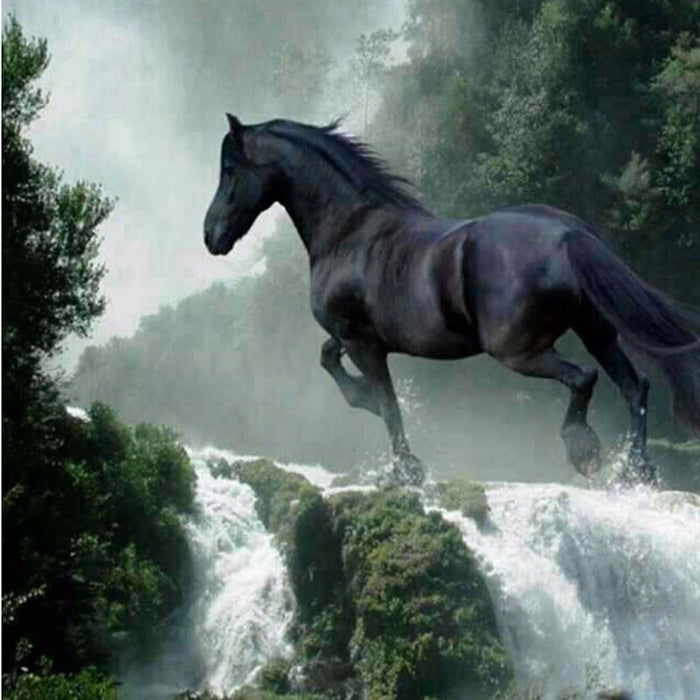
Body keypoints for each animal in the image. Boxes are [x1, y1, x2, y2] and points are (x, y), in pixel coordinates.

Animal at [204, 114, 700, 486]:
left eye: (230, 171)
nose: (211, 236)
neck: (349, 231)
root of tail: (567, 234)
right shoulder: (354, 339)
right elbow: (331, 361)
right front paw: (363, 400)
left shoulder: (363, 343)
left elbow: (388, 405)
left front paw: (406, 470)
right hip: (596, 331)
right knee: (635, 386)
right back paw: (635, 472)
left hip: (517, 350)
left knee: (584, 378)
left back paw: (585, 451)